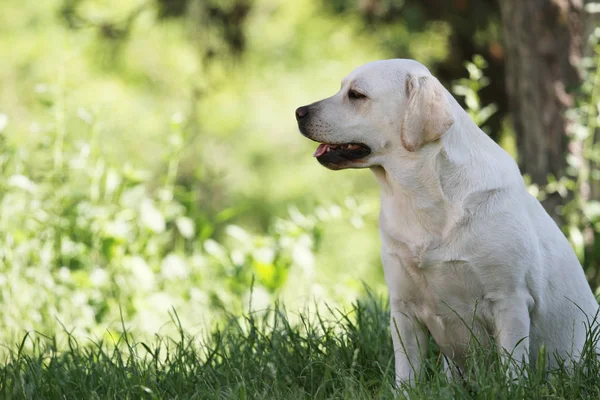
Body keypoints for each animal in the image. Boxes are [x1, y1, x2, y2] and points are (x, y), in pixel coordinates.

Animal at [296, 58, 600, 384]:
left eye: (356, 95)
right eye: (342, 88)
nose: (299, 112)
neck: (419, 195)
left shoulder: (510, 300)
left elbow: (512, 369)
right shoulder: (403, 308)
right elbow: (407, 373)